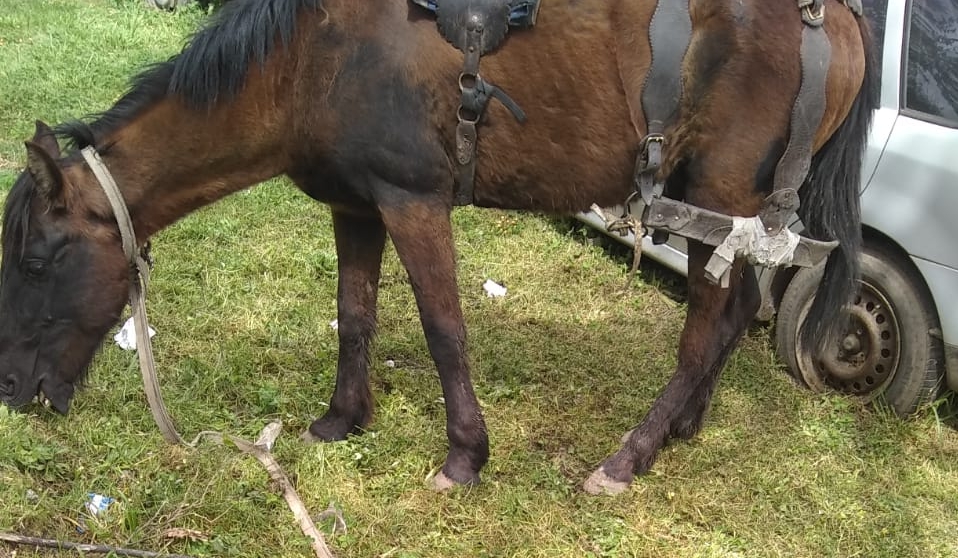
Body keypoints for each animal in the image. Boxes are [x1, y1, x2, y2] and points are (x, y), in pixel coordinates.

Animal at [0, 0, 876, 496]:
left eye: (37, 263)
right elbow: (354, 315)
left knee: (703, 331)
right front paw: (340, 419)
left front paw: (464, 458)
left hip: (721, 202)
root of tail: (837, 17)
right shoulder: (355, 206)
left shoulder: (413, 203)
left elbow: (444, 331)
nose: (12, 389)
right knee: (731, 316)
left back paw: (629, 459)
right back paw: (684, 428)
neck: (311, 62)